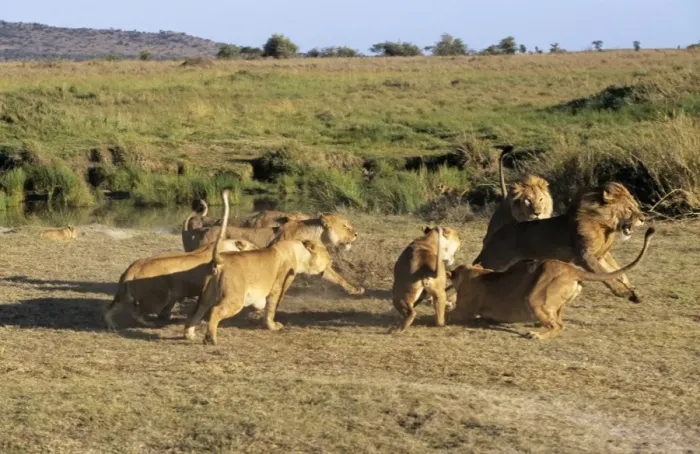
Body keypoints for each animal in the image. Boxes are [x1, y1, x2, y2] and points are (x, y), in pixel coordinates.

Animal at [103, 237, 257, 330]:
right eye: (253, 245)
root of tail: (133, 267)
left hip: (124, 296)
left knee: (110, 310)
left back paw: (111, 326)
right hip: (158, 297)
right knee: (137, 312)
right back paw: (150, 323)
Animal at [183, 190, 334, 345]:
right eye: (326, 254)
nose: (332, 260)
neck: (298, 250)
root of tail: (221, 259)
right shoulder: (277, 287)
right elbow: (271, 307)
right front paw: (272, 326)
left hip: (207, 295)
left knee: (198, 309)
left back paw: (189, 334)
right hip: (234, 298)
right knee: (215, 310)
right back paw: (210, 338)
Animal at [450, 227, 654, 339]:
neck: (475, 272)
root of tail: (573, 270)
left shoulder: (464, 310)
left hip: (535, 298)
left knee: (558, 326)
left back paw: (536, 336)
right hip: (556, 303)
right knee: (558, 322)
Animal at [473, 181, 646, 302]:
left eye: (636, 206)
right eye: (629, 209)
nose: (643, 219)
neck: (605, 226)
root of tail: (502, 229)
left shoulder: (601, 255)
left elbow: (618, 272)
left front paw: (634, 291)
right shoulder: (585, 256)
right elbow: (605, 274)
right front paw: (623, 291)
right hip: (495, 260)